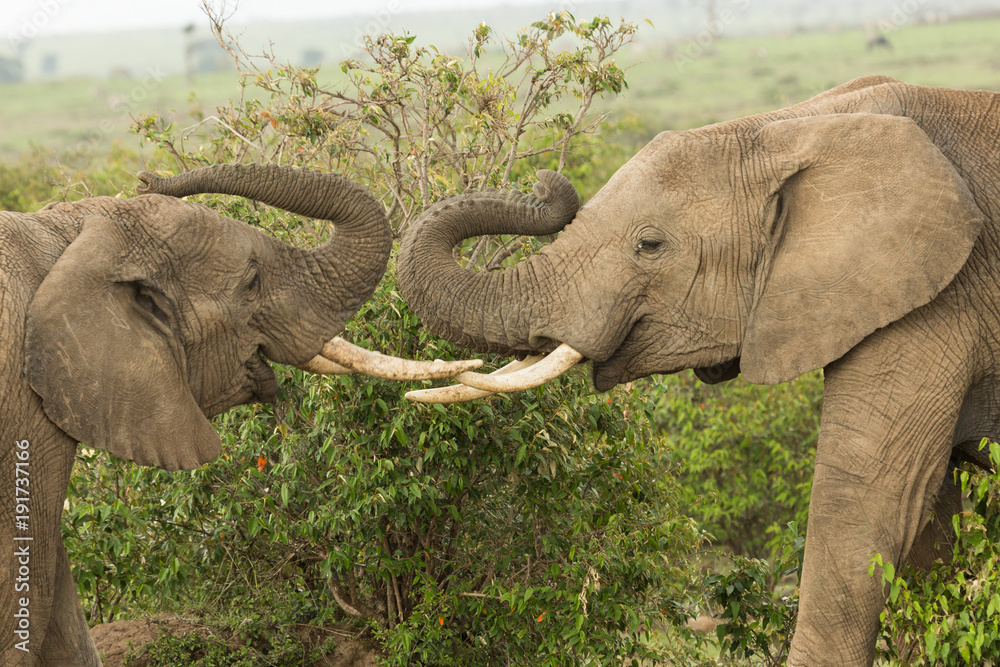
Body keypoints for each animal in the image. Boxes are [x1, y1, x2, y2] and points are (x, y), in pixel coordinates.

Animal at [0, 163, 478, 666]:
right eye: (251, 281)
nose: (147, 179)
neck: (65, 233)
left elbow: (52, 591)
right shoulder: (21, 411)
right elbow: (28, 578)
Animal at [395, 75, 1000, 665]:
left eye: (649, 245)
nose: (544, 185)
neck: (794, 127)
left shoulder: (938, 297)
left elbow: (870, 500)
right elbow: (925, 524)